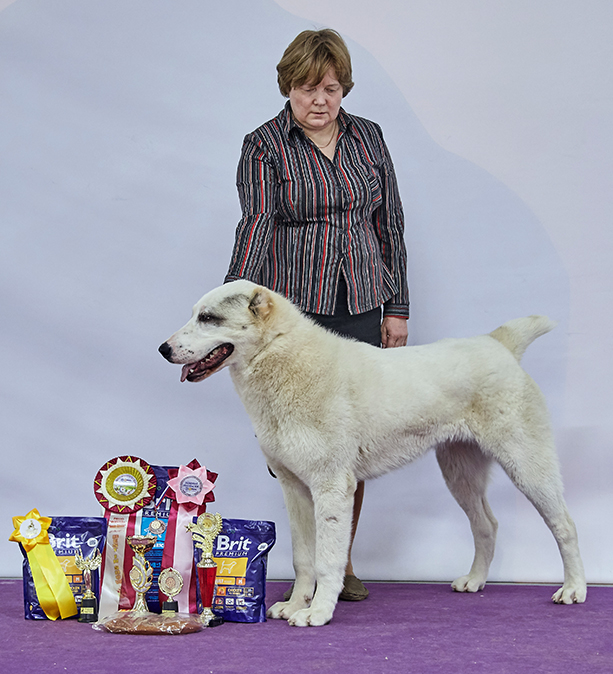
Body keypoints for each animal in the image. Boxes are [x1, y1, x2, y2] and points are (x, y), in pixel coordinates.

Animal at [159, 280, 586, 626]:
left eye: (209, 318)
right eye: (196, 315)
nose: (163, 348)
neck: (281, 355)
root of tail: (497, 343)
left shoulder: (331, 488)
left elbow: (327, 559)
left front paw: (317, 612)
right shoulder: (294, 489)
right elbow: (303, 558)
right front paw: (296, 605)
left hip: (527, 464)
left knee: (564, 525)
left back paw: (574, 589)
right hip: (459, 472)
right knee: (487, 524)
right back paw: (476, 581)